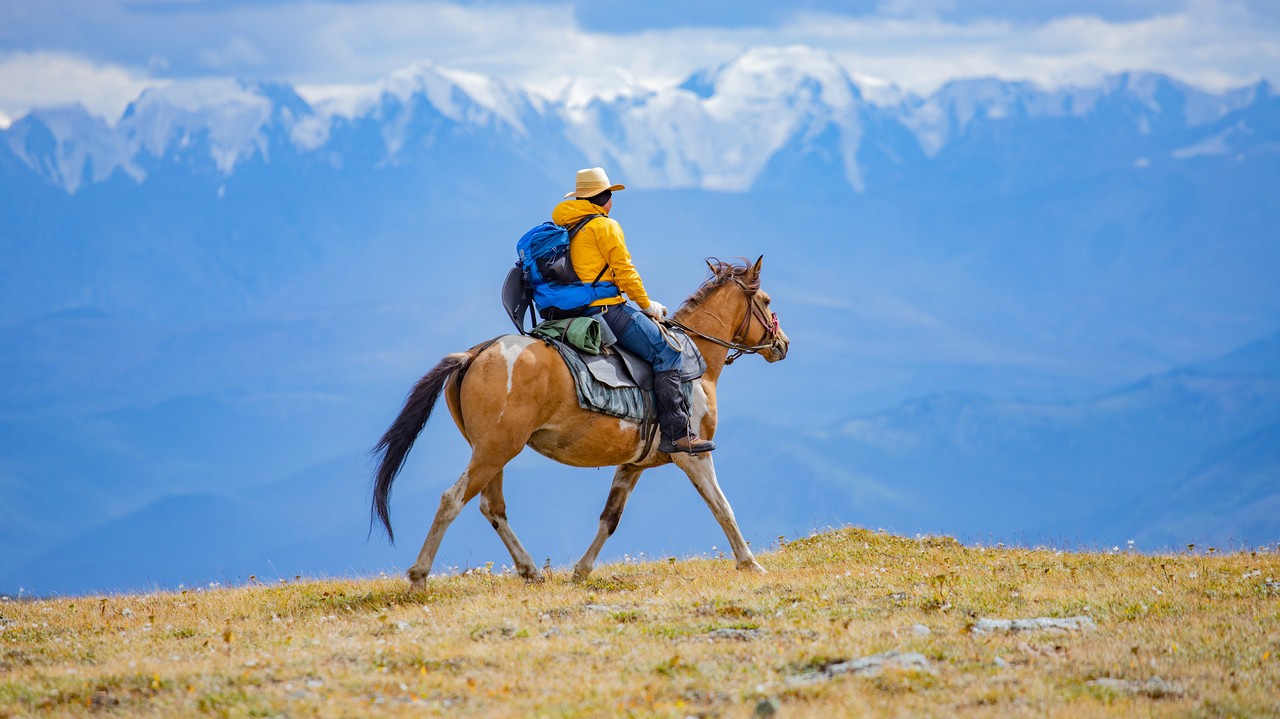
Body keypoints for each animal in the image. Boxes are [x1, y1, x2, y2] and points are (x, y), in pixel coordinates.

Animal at [371, 254, 788, 585]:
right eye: (767, 301)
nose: (782, 344)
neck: (695, 360)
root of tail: (475, 353)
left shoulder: (632, 464)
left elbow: (610, 517)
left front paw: (581, 571)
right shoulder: (693, 455)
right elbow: (723, 507)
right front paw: (750, 563)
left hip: (491, 450)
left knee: (492, 508)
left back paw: (530, 571)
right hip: (494, 450)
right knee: (453, 499)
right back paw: (419, 576)